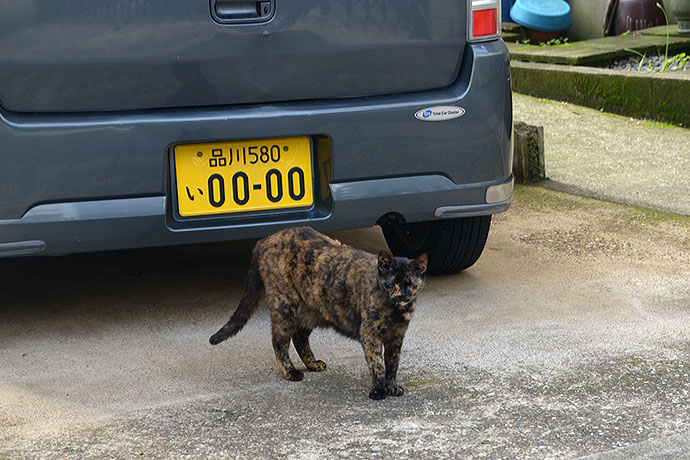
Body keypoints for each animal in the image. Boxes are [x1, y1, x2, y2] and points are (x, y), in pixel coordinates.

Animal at [210, 226, 424, 398]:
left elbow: (393, 364)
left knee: (299, 336)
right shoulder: (370, 334)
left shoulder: (396, 337)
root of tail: (264, 240)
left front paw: (392, 386)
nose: (401, 296)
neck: (395, 311)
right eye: (391, 284)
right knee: (279, 341)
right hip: (284, 304)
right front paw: (378, 390)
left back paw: (312, 363)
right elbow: (377, 363)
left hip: (310, 309)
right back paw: (290, 372)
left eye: (409, 284)